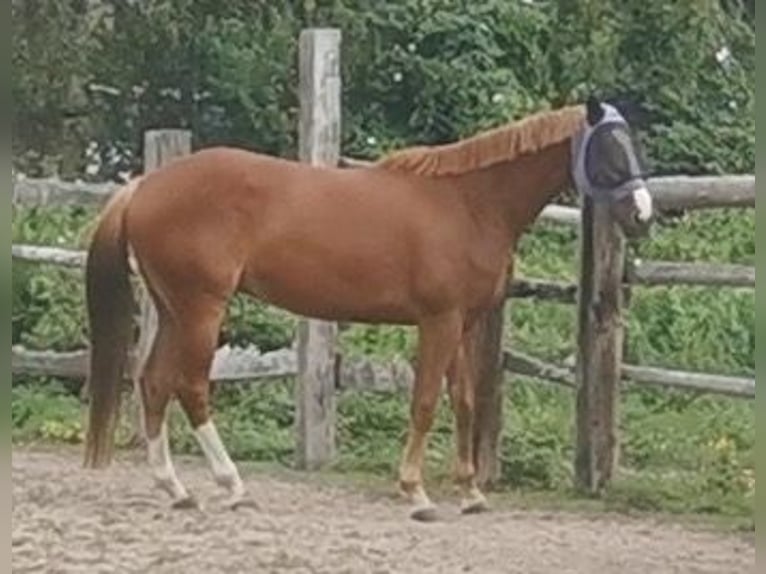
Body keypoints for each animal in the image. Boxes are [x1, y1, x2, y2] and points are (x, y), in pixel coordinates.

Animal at [82, 97, 653, 521]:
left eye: (632, 143)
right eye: (609, 148)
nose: (643, 214)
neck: (468, 203)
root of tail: (144, 186)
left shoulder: (464, 324)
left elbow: (465, 401)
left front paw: (470, 493)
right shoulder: (438, 321)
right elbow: (425, 401)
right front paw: (416, 493)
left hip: (172, 309)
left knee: (154, 382)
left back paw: (177, 489)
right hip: (202, 310)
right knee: (192, 387)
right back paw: (232, 485)